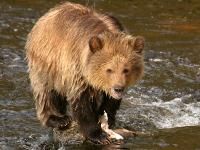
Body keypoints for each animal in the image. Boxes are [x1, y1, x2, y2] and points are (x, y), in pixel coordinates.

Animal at [25, 1, 145, 144]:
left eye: (126, 69)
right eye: (109, 69)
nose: (118, 88)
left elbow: (109, 102)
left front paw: (108, 120)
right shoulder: (77, 69)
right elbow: (81, 101)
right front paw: (98, 135)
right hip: (46, 62)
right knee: (46, 92)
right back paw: (59, 119)